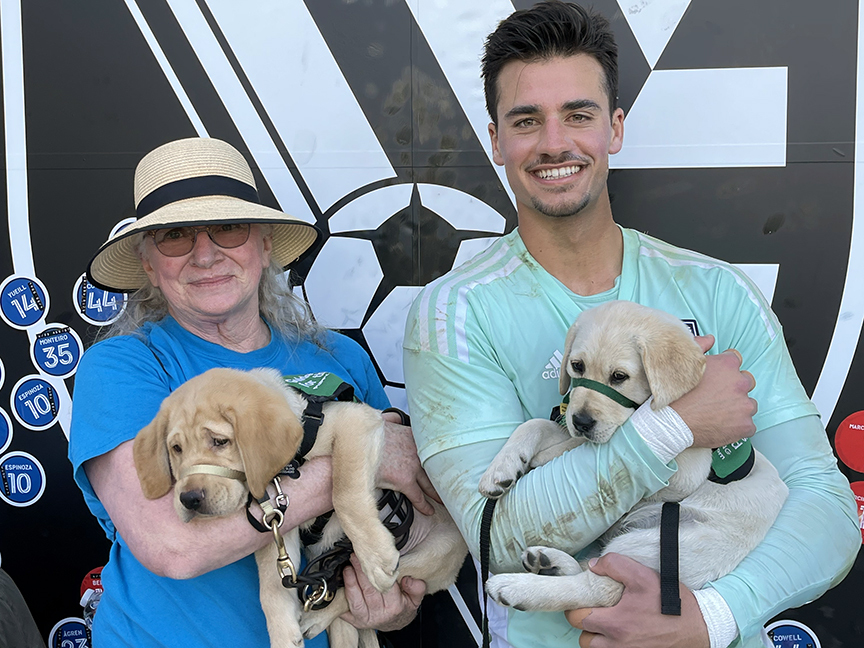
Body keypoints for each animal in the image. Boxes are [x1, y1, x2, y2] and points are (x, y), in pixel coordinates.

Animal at [136, 368, 470, 648]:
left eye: (220, 441)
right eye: (176, 449)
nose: (189, 499)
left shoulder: (356, 421)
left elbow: (345, 491)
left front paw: (376, 554)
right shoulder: (278, 525)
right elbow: (272, 587)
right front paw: (283, 634)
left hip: (430, 558)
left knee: (351, 595)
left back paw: (319, 613)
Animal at [480, 302, 788, 612]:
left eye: (619, 377)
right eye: (577, 366)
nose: (581, 421)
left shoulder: (687, 470)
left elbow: (584, 444)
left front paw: (544, 457)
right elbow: (536, 425)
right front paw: (500, 470)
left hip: (665, 545)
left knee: (601, 588)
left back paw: (516, 587)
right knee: (592, 566)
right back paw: (549, 563)